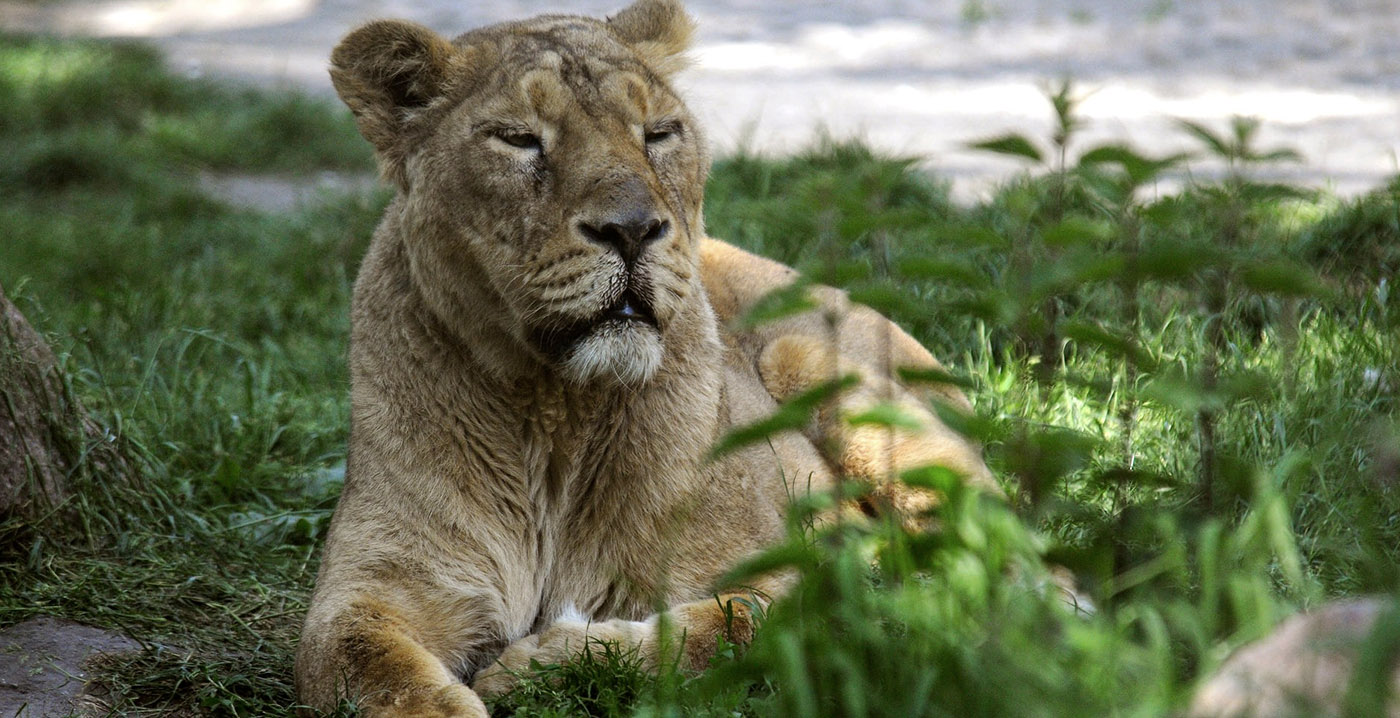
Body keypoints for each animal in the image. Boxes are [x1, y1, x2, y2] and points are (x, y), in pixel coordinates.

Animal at [295, 2, 996, 713]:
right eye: (518, 139)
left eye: (659, 133)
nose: (631, 229)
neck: (554, 414)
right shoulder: (371, 588)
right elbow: (365, 666)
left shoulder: (811, 576)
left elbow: (725, 629)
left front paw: (537, 664)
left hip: (825, 374)